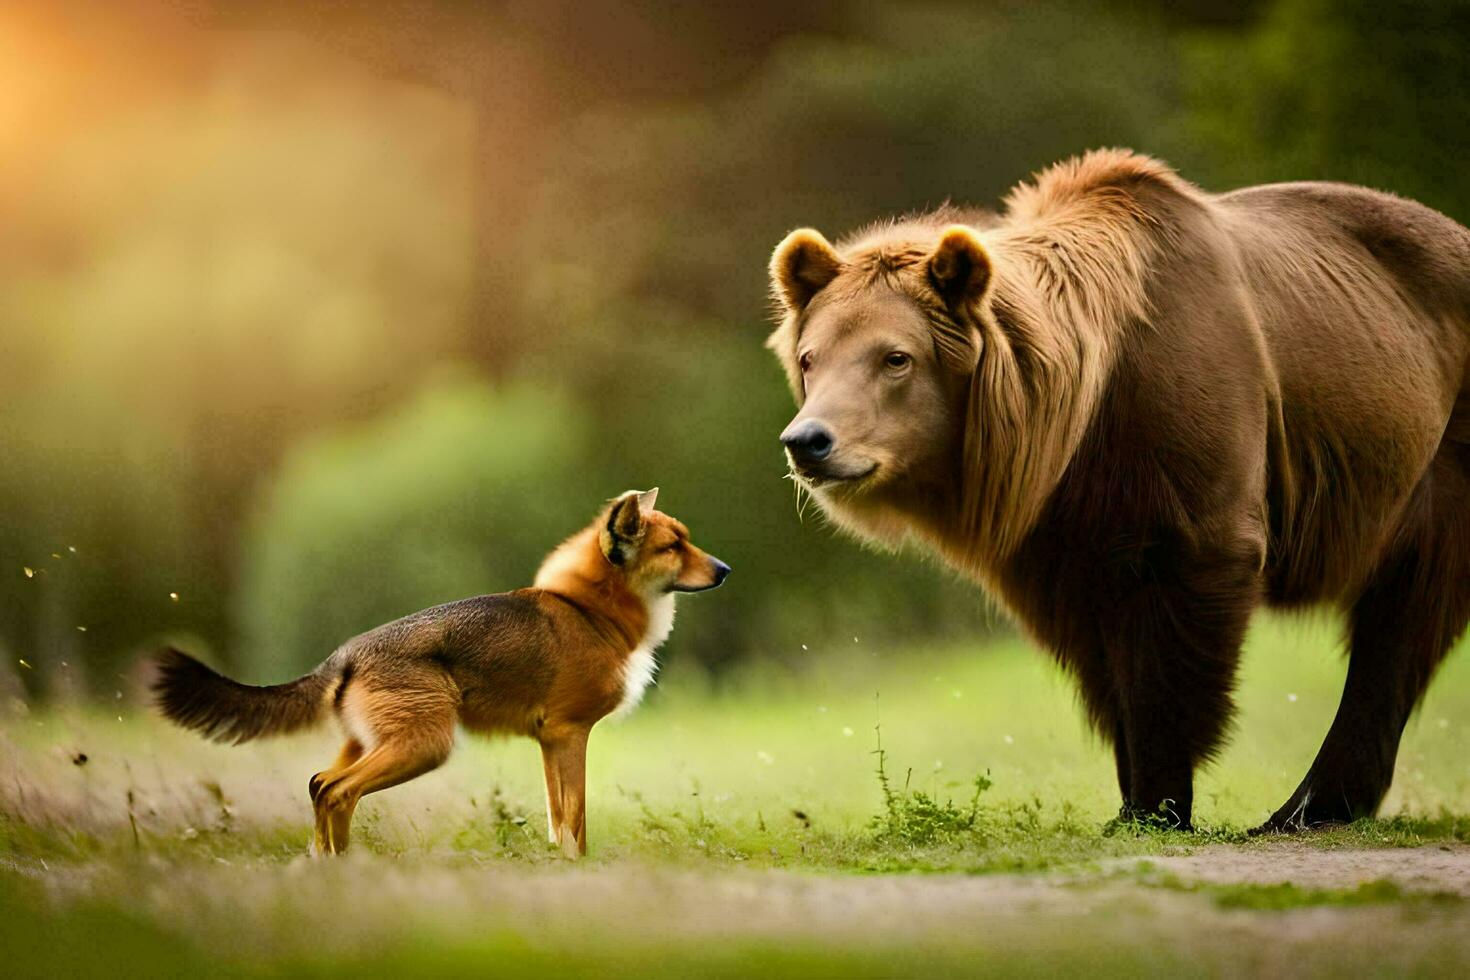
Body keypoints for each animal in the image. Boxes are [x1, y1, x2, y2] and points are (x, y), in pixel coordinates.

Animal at [155, 490, 729, 858]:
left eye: (686, 540)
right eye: (672, 547)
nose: (725, 570)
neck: (590, 609)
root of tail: (345, 655)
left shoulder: (550, 742)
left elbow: (556, 819)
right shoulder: (570, 735)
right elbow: (575, 820)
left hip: (375, 745)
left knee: (321, 786)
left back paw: (331, 866)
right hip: (423, 745)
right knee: (338, 791)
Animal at [770, 149, 1470, 834]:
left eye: (895, 358)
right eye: (811, 357)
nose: (809, 440)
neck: (1085, 412)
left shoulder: (1189, 459)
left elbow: (1178, 628)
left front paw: (1159, 801)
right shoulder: (1062, 530)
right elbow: (1101, 658)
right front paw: (1132, 793)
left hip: (1437, 452)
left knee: (1403, 612)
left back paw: (1305, 806)